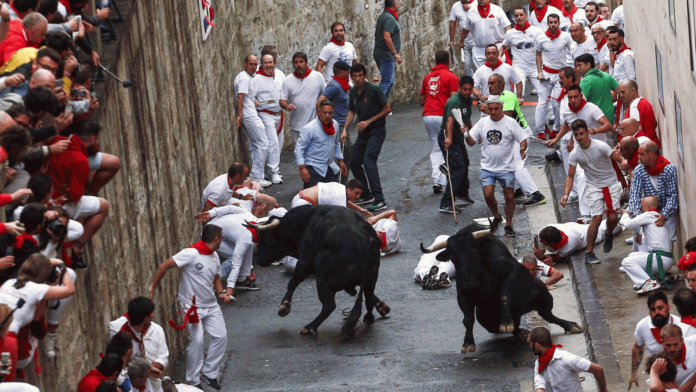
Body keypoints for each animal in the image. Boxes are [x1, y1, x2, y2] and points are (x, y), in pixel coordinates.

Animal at [243, 205, 388, 336]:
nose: (259, 260)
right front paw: (382, 306)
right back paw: (369, 317)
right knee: (367, 296)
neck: (306, 222)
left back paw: (310, 327)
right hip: (371, 277)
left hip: (323, 281)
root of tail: (366, 244)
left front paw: (284, 306)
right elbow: (369, 295)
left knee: (329, 305)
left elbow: (293, 282)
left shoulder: (305, 261)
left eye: (266, 238)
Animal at [422, 222, 584, 354]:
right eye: (453, 257)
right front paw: (467, 344)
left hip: (544, 296)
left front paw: (506, 323)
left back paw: (570, 325)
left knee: (547, 314)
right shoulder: (462, 294)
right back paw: (520, 332)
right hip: (484, 317)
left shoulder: (512, 273)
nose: (468, 281)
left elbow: (504, 295)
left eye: (473, 252)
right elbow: (468, 319)